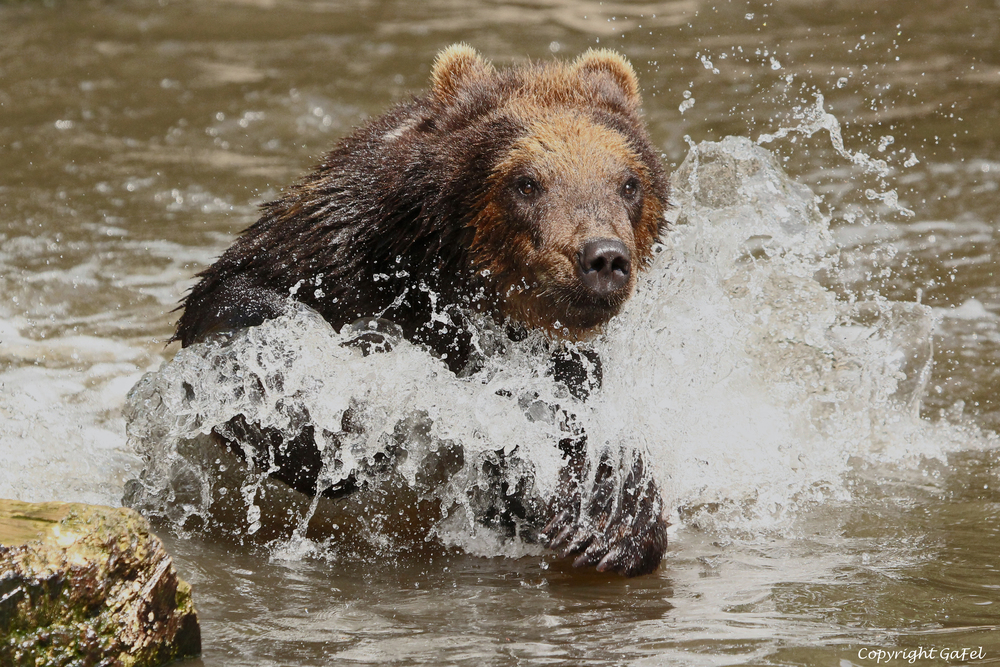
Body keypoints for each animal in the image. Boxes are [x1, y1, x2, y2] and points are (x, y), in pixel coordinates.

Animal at [175, 45, 668, 580]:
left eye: (628, 182)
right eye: (526, 182)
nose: (603, 257)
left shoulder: (557, 360)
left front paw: (607, 520)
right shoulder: (333, 249)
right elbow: (236, 310)